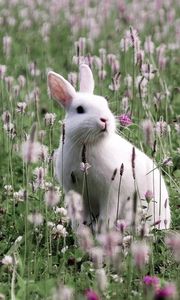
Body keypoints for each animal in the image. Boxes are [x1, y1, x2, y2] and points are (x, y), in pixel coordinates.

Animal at [47, 64, 170, 231]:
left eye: (104, 104)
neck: (90, 144)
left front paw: (102, 232)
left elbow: (107, 217)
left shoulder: (112, 194)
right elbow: (79, 218)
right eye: (80, 109)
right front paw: (81, 232)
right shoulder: (76, 193)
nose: (104, 120)